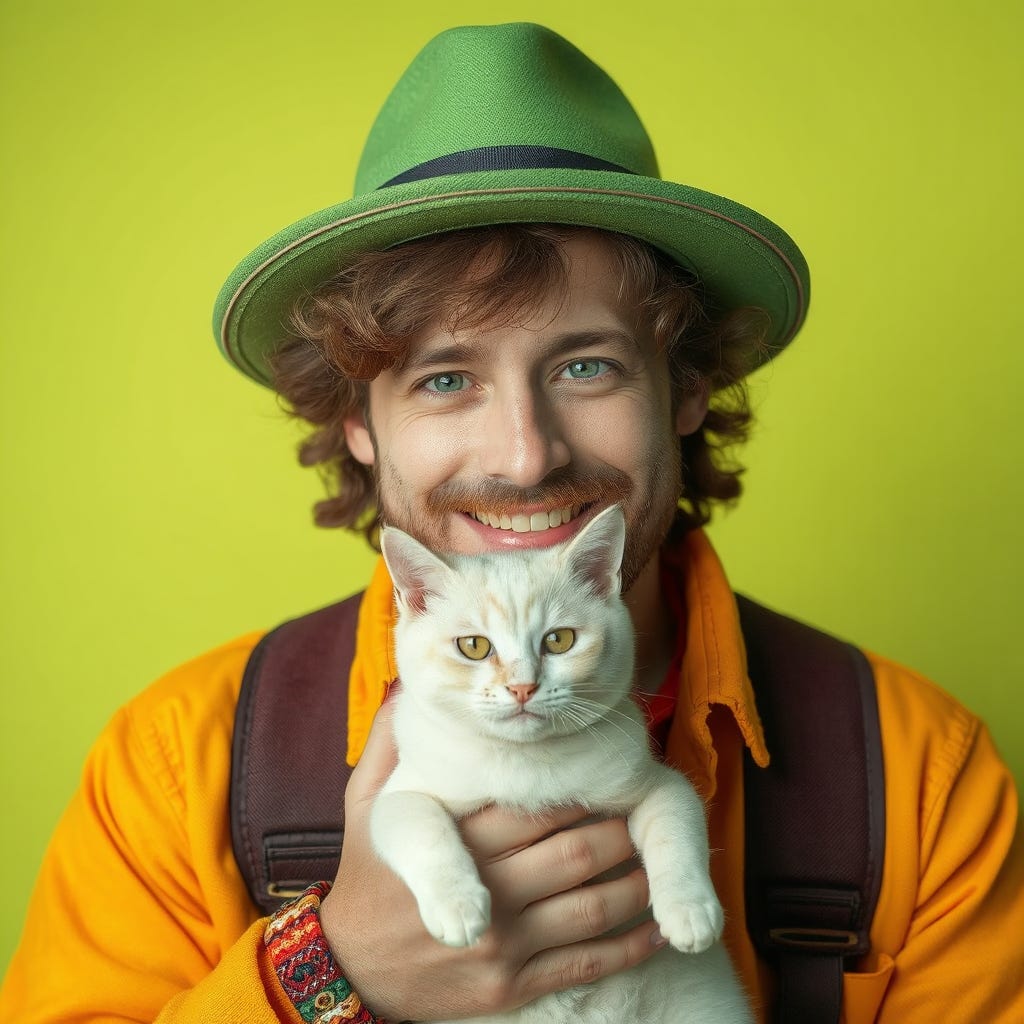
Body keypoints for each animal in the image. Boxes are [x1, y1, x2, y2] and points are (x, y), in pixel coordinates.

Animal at [374, 507, 753, 1019]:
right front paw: (458, 905)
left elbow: (674, 822)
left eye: (559, 640)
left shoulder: (652, 779)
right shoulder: (403, 790)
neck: (526, 763)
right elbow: (417, 824)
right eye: (473, 646)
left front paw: (690, 910)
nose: (522, 687)